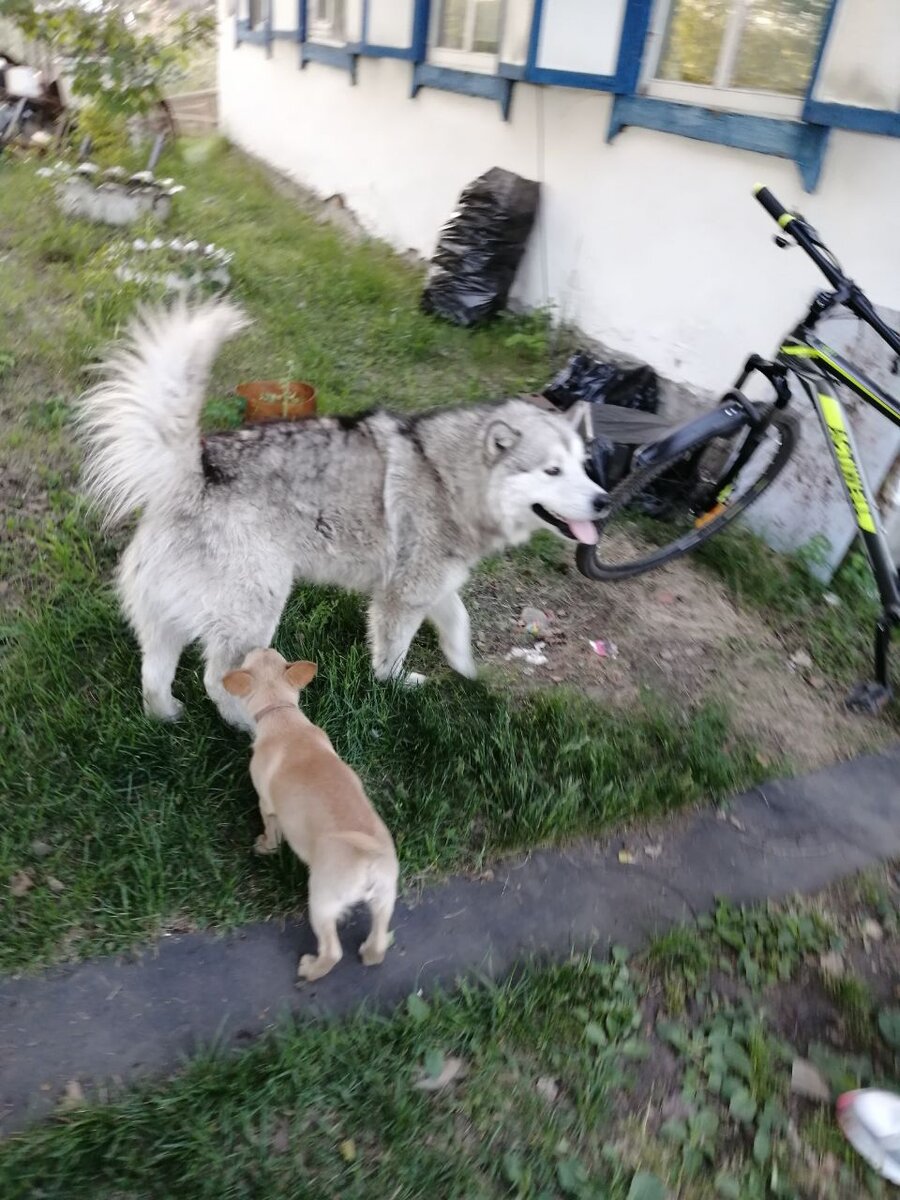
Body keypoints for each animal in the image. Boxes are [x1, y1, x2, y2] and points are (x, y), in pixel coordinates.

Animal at [77, 299, 606, 728]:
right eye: (552, 470)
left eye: (584, 465)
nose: (604, 503)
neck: (446, 475)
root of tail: (196, 470)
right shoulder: (402, 597)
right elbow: (391, 657)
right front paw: (397, 686)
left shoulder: (429, 585)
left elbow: (458, 623)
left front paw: (467, 671)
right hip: (257, 608)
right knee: (218, 681)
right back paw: (255, 726)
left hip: (168, 617)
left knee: (153, 672)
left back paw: (165, 716)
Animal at [223, 647, 398, 982]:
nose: (257, 646)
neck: (281, 713)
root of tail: (368, 860)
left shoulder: (267, 804)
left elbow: (271, 829)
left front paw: (265, 846)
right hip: (385, 896)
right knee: (378, 940)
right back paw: (370, 953)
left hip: (322, 901)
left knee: (332, 951)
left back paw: (311, 969)